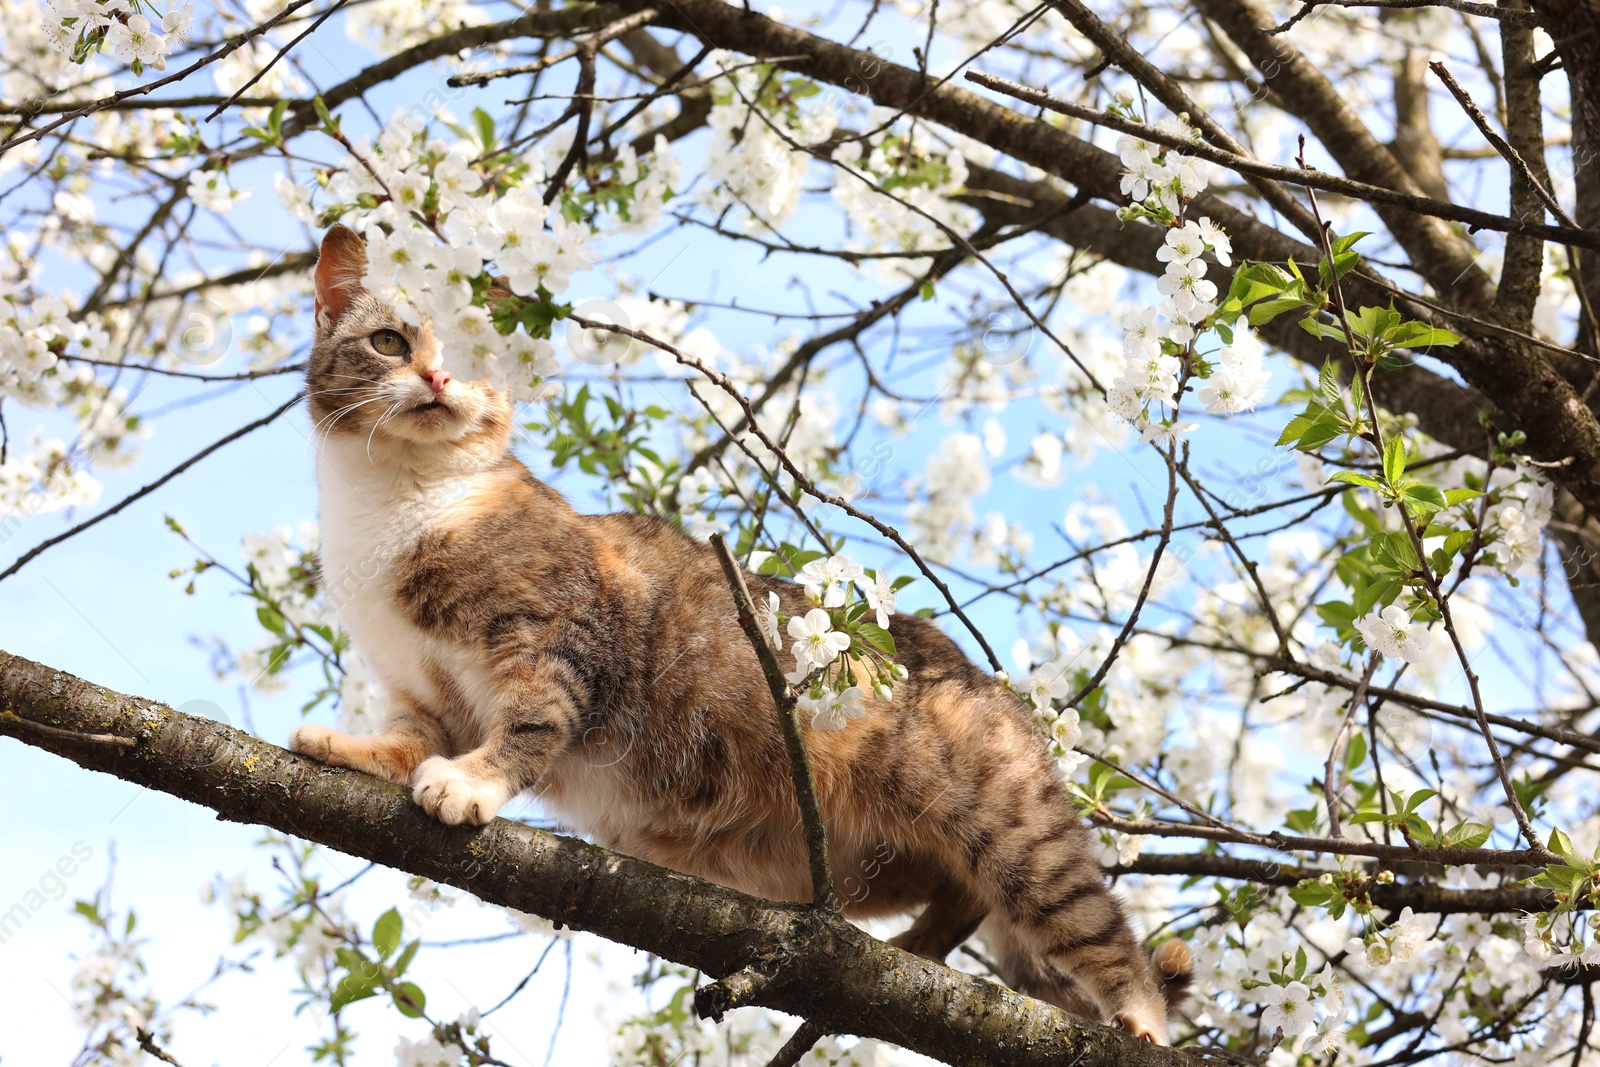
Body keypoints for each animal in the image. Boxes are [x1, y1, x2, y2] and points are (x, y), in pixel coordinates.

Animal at [288, 225, 1196, 1043]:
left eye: (477, 353)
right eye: (390, 341)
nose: (438, 375)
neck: (397, 507)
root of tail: (986, 680)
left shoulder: (557, 637)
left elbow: (530, 722)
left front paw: (471, 782)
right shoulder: (417, 683)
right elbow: (408, 735)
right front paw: (356, 748)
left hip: (1011, 823)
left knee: (1086, 916)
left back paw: (1139, 1012)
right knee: (964, 894)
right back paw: (918, 949)